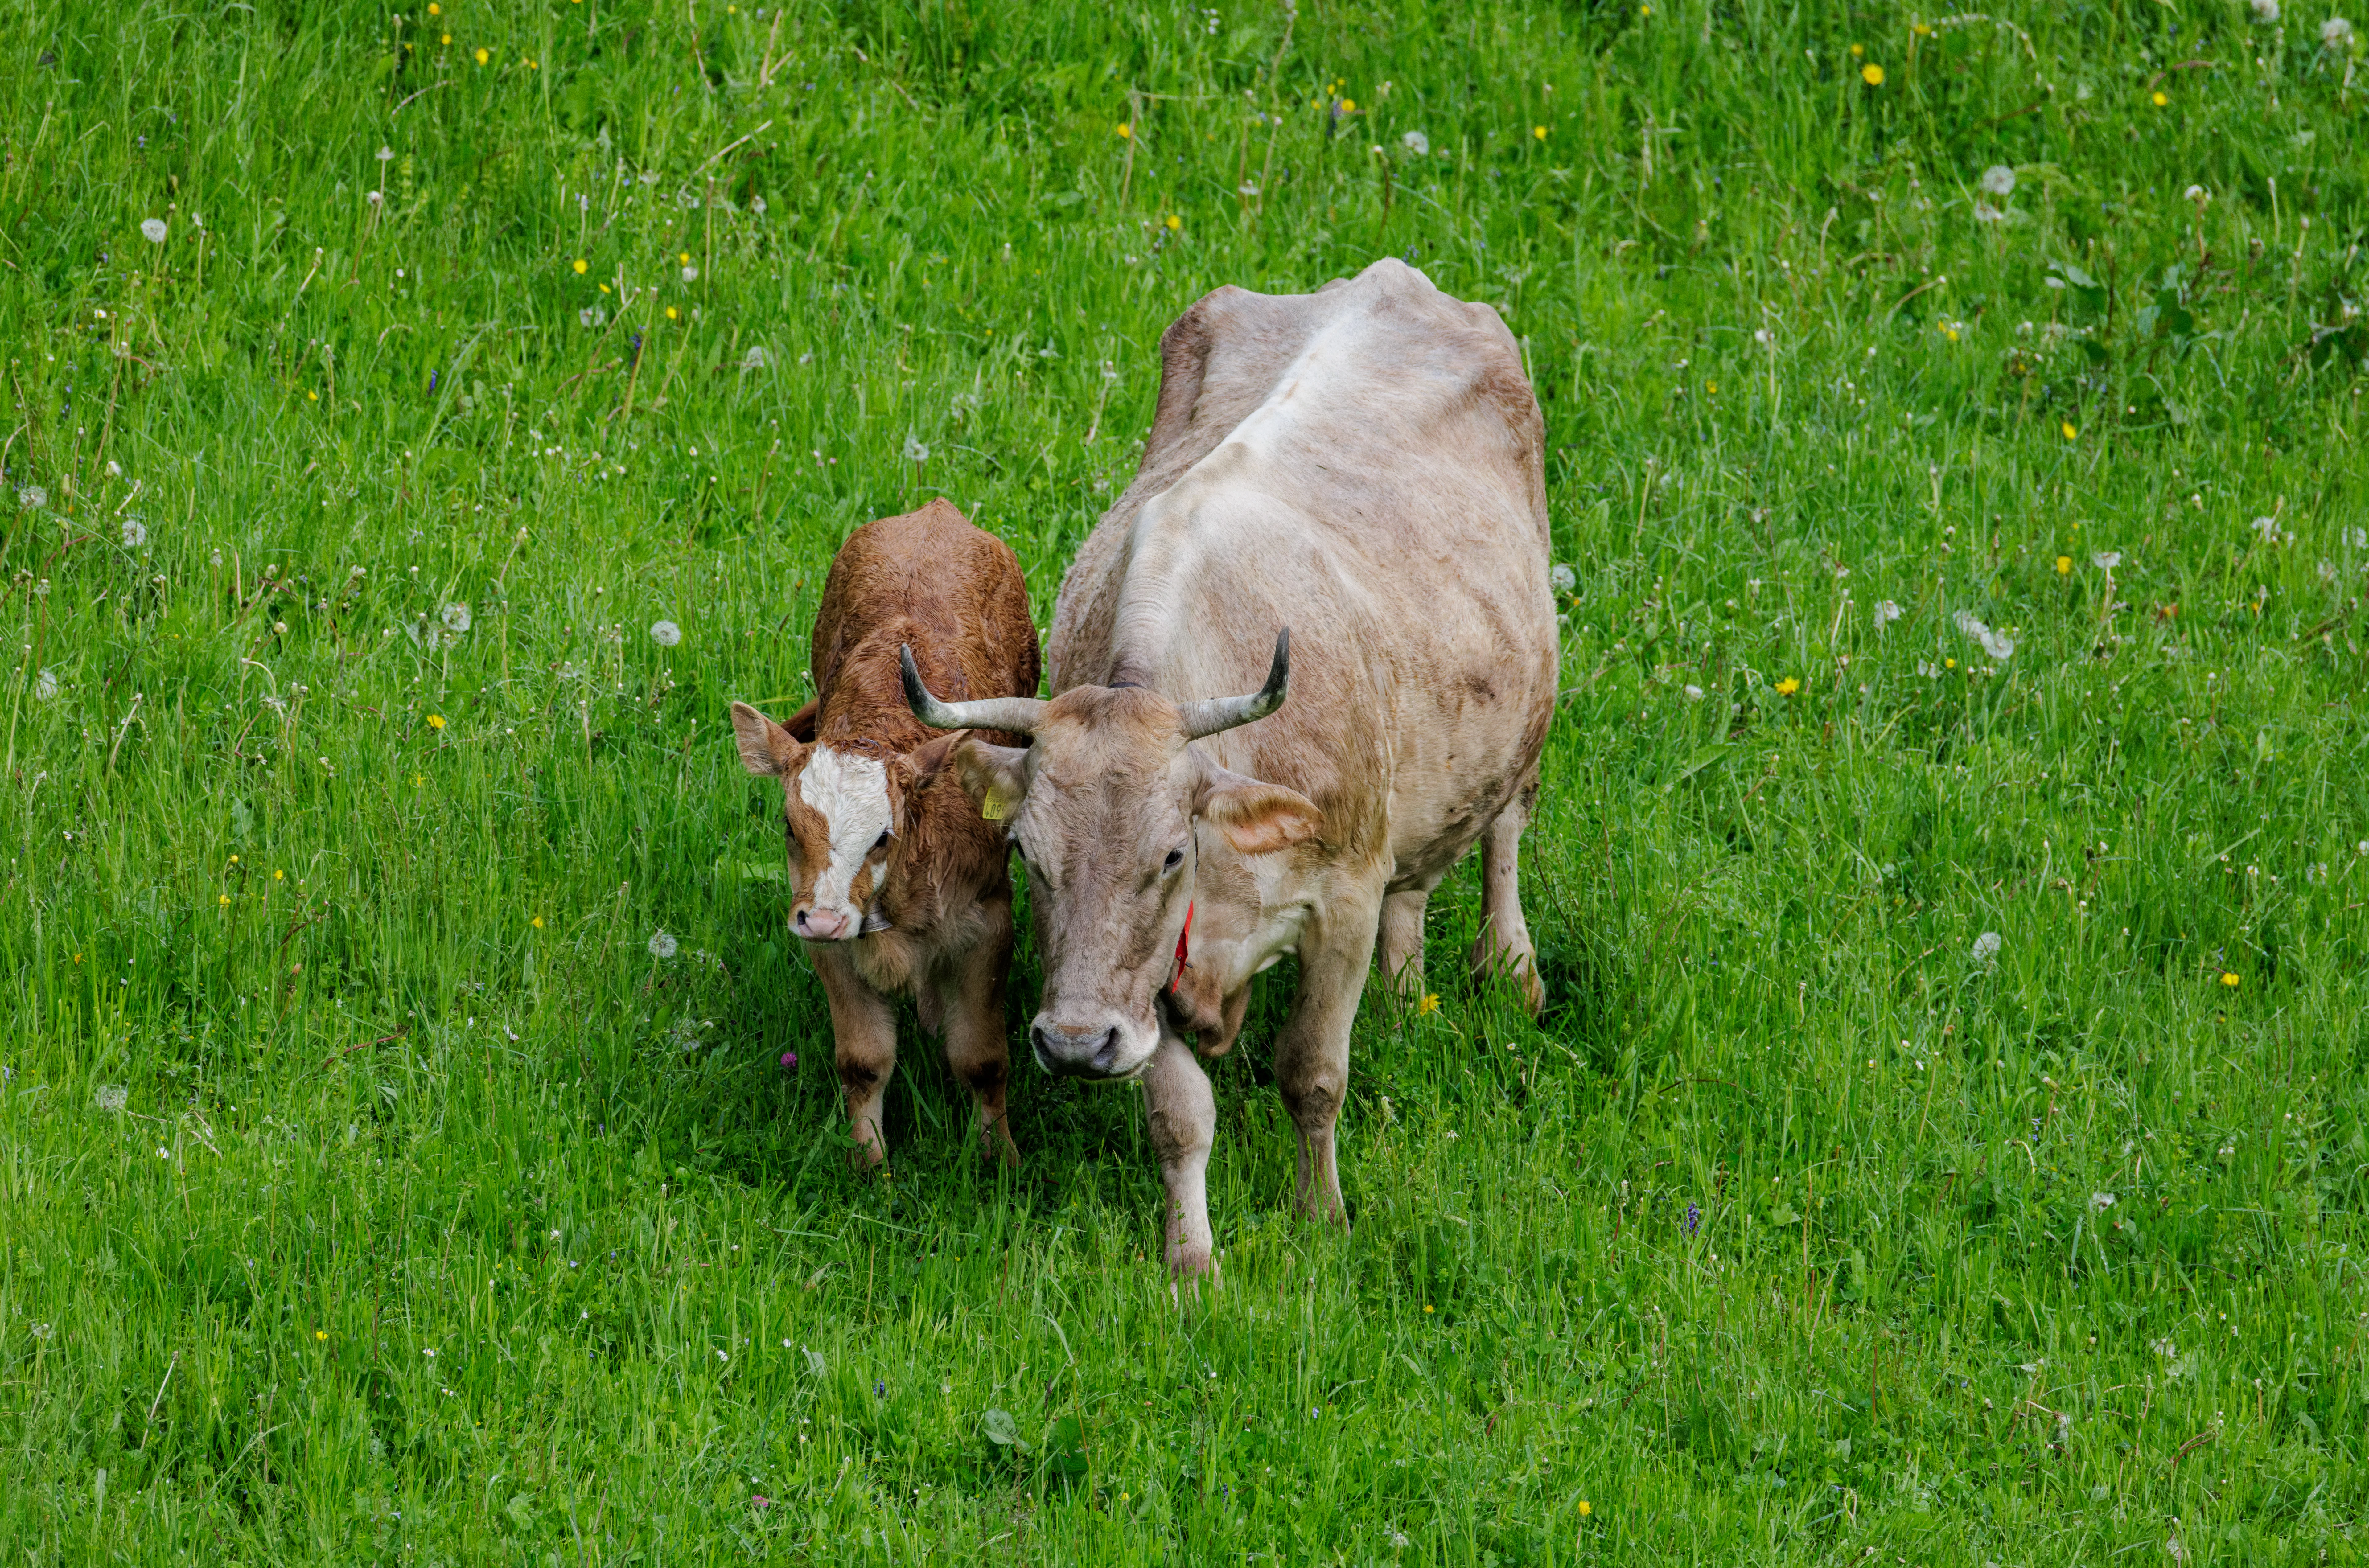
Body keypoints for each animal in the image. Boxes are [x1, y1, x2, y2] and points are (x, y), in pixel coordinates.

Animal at [731, 498, 1041, 1168]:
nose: (823, 918)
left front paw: (1000, 1159)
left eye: (882, 836)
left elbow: (981, 1060)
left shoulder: (987, 925)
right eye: (788, 825)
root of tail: (937, 511)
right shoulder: (827, 940)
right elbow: (864, 1062)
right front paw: (869, 1164)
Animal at [900, 260, 1557, 1275]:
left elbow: (1312, 1076)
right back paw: (1405, 991)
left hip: (1525, 714)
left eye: (1171, 854)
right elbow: (1179, 1118)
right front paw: (1191, 1264)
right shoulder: (1149, 988)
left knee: (1503, 832)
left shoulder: (1342, 898)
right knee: (1419, 881)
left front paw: (1321, 1216)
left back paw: (1511, 967)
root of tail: (1395, 278)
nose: (1074, 1045)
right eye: (1024, 854)